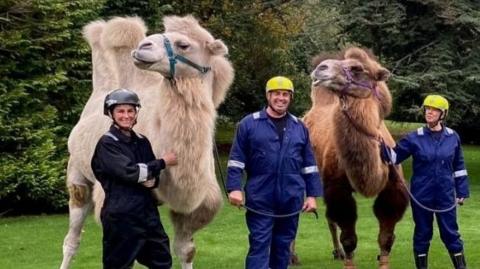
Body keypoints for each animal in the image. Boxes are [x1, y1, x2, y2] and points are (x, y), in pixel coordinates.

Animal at [60, 15, 234, 268]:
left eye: (184, 45)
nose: (143, 46)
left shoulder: (195, 206)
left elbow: (185, 250)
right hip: (78, 175)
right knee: (72, 238)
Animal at [304, 47, 408, 266]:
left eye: (357, 68)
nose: (320, 69)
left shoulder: (393, 188)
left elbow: (386, 240)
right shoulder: (338, 189)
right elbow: (350, 240)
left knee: (329, 219)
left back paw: (337, 253)